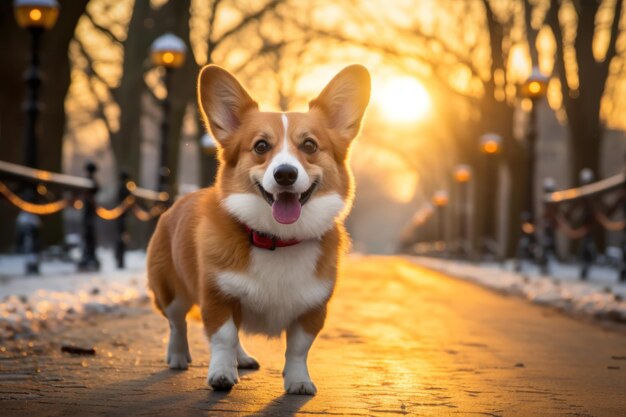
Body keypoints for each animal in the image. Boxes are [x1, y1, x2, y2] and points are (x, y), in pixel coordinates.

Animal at [145, 64, 370, 394]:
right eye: (261, 146)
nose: (285, 174)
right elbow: (223, 337)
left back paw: (242, 358)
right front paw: (221, 375)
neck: (278, 239)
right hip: (170, 290)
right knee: (177, 322)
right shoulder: (217, 296)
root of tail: (178, 200)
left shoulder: (313, 307)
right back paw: (177, 355)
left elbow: (298, 348)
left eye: (310, 145)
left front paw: (299, 381)